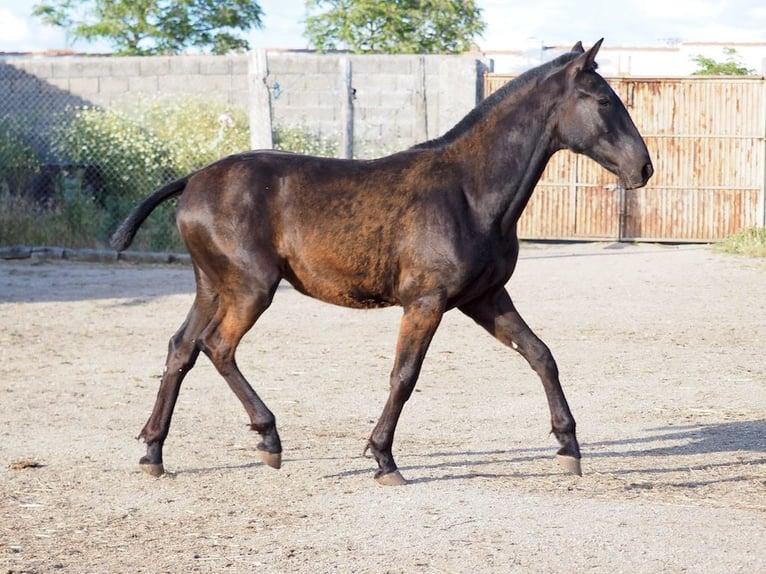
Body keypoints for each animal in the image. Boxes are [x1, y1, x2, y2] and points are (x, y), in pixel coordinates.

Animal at [112, 39, 656, 486]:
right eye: (604, 101)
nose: (644, 168)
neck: (469, 192)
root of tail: (193, 179)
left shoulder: (484, 297)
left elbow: (541, 354)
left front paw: (569, 447)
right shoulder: (426, 302)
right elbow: (404, 375)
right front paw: (384, 459)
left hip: (213, 286)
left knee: (182, 349)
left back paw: (154, 452)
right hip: (251, 287)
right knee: (217, 347)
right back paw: (268, 439)